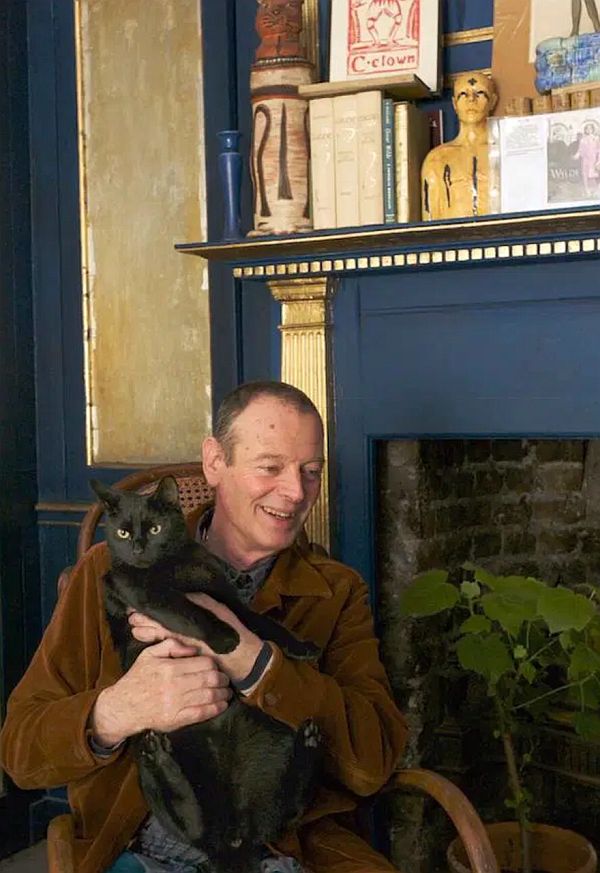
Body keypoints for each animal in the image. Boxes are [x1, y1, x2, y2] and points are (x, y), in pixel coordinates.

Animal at [89, 476, 322, 872]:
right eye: (122, 531)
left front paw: (301, 647)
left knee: (285, 812)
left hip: (271, 737)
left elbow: (264, 625)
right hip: (149, 763)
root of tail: (232, 839)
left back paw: (308, 741)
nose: (138, 547)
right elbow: (190, 611)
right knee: (191, 819)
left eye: (155, 528)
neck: (173, 565)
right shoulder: (143, 594)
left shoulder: (226, 598)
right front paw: (226, 639)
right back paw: (159, 755)